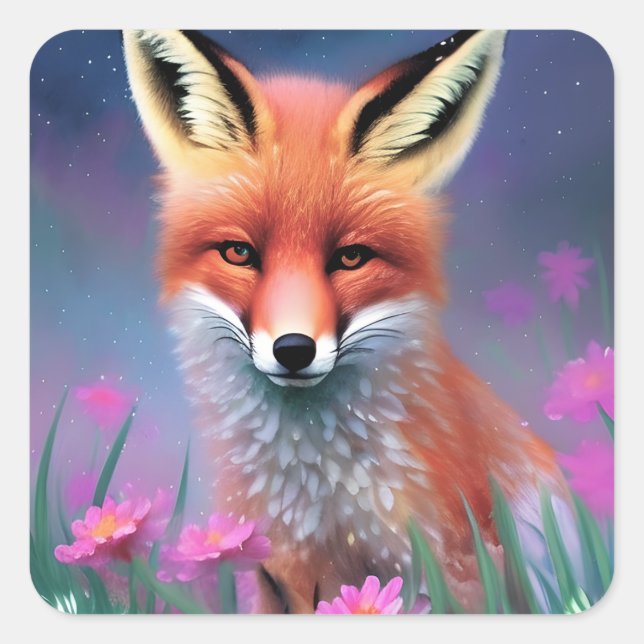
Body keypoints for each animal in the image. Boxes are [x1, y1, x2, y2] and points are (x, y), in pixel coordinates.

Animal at [122, 29, 567, 613]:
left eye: (351, 258)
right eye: (239, 253)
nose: (293, 349)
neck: (323, 497)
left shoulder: (455, 561)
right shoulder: (279, 569)